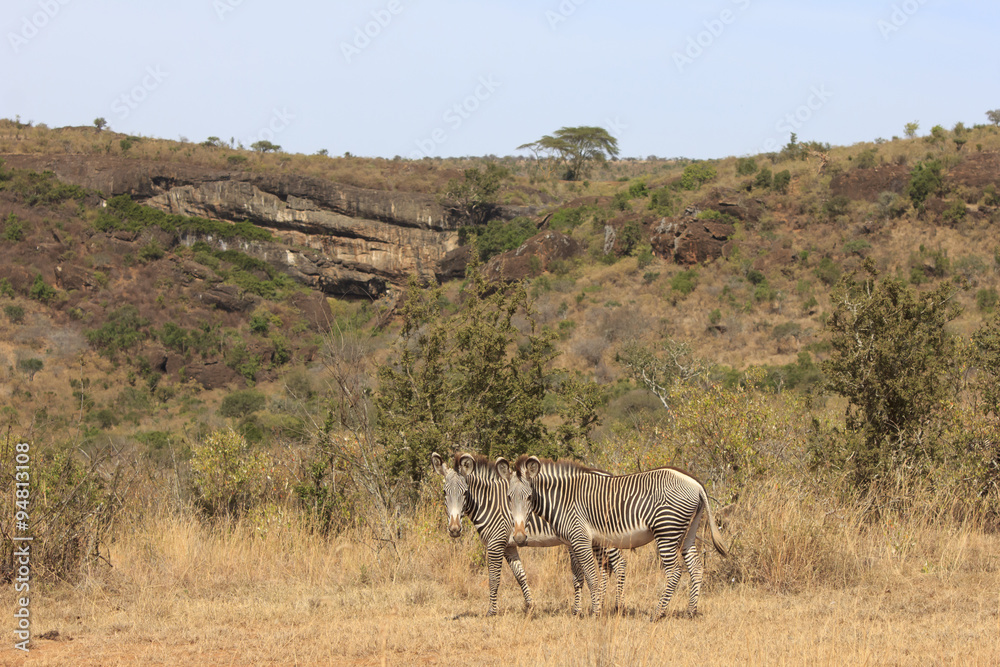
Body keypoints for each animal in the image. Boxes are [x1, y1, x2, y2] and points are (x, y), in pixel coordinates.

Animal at [431, 452, 626, 617]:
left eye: (465, 493)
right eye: (444, 492)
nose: (454, 529)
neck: (488, 502)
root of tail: (608, 474)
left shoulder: (496, 543)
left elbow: (493, 578)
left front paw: (491, 612)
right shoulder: (509, 545)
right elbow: (520, 575)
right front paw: (530, 606)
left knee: (619, 563)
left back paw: (618, 607)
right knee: (606, 567)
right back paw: (602, 603)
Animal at [498, 454, 728, 619]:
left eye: (529, 497)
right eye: (508, 497)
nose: (519, 538)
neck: (562, 500)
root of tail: (696, 484)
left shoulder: (580, 538)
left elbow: (591, 576)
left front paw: (595, 613)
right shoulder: (577, 541)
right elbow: (585, 576)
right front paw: (589, 609)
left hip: (667, 531)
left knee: (675, 572)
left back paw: (658, 613)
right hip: (689, 530)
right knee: (695, 566)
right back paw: (691, 611)